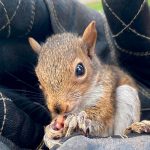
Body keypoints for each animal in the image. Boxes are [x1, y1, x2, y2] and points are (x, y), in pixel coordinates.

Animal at [28, 20, 144, 148]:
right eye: (39, 81)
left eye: (80, 69)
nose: (58, 108)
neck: (81, 103)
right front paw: (49, 130)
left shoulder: (105, 93)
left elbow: (101, 116)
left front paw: (76, 119)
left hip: (127, 94)